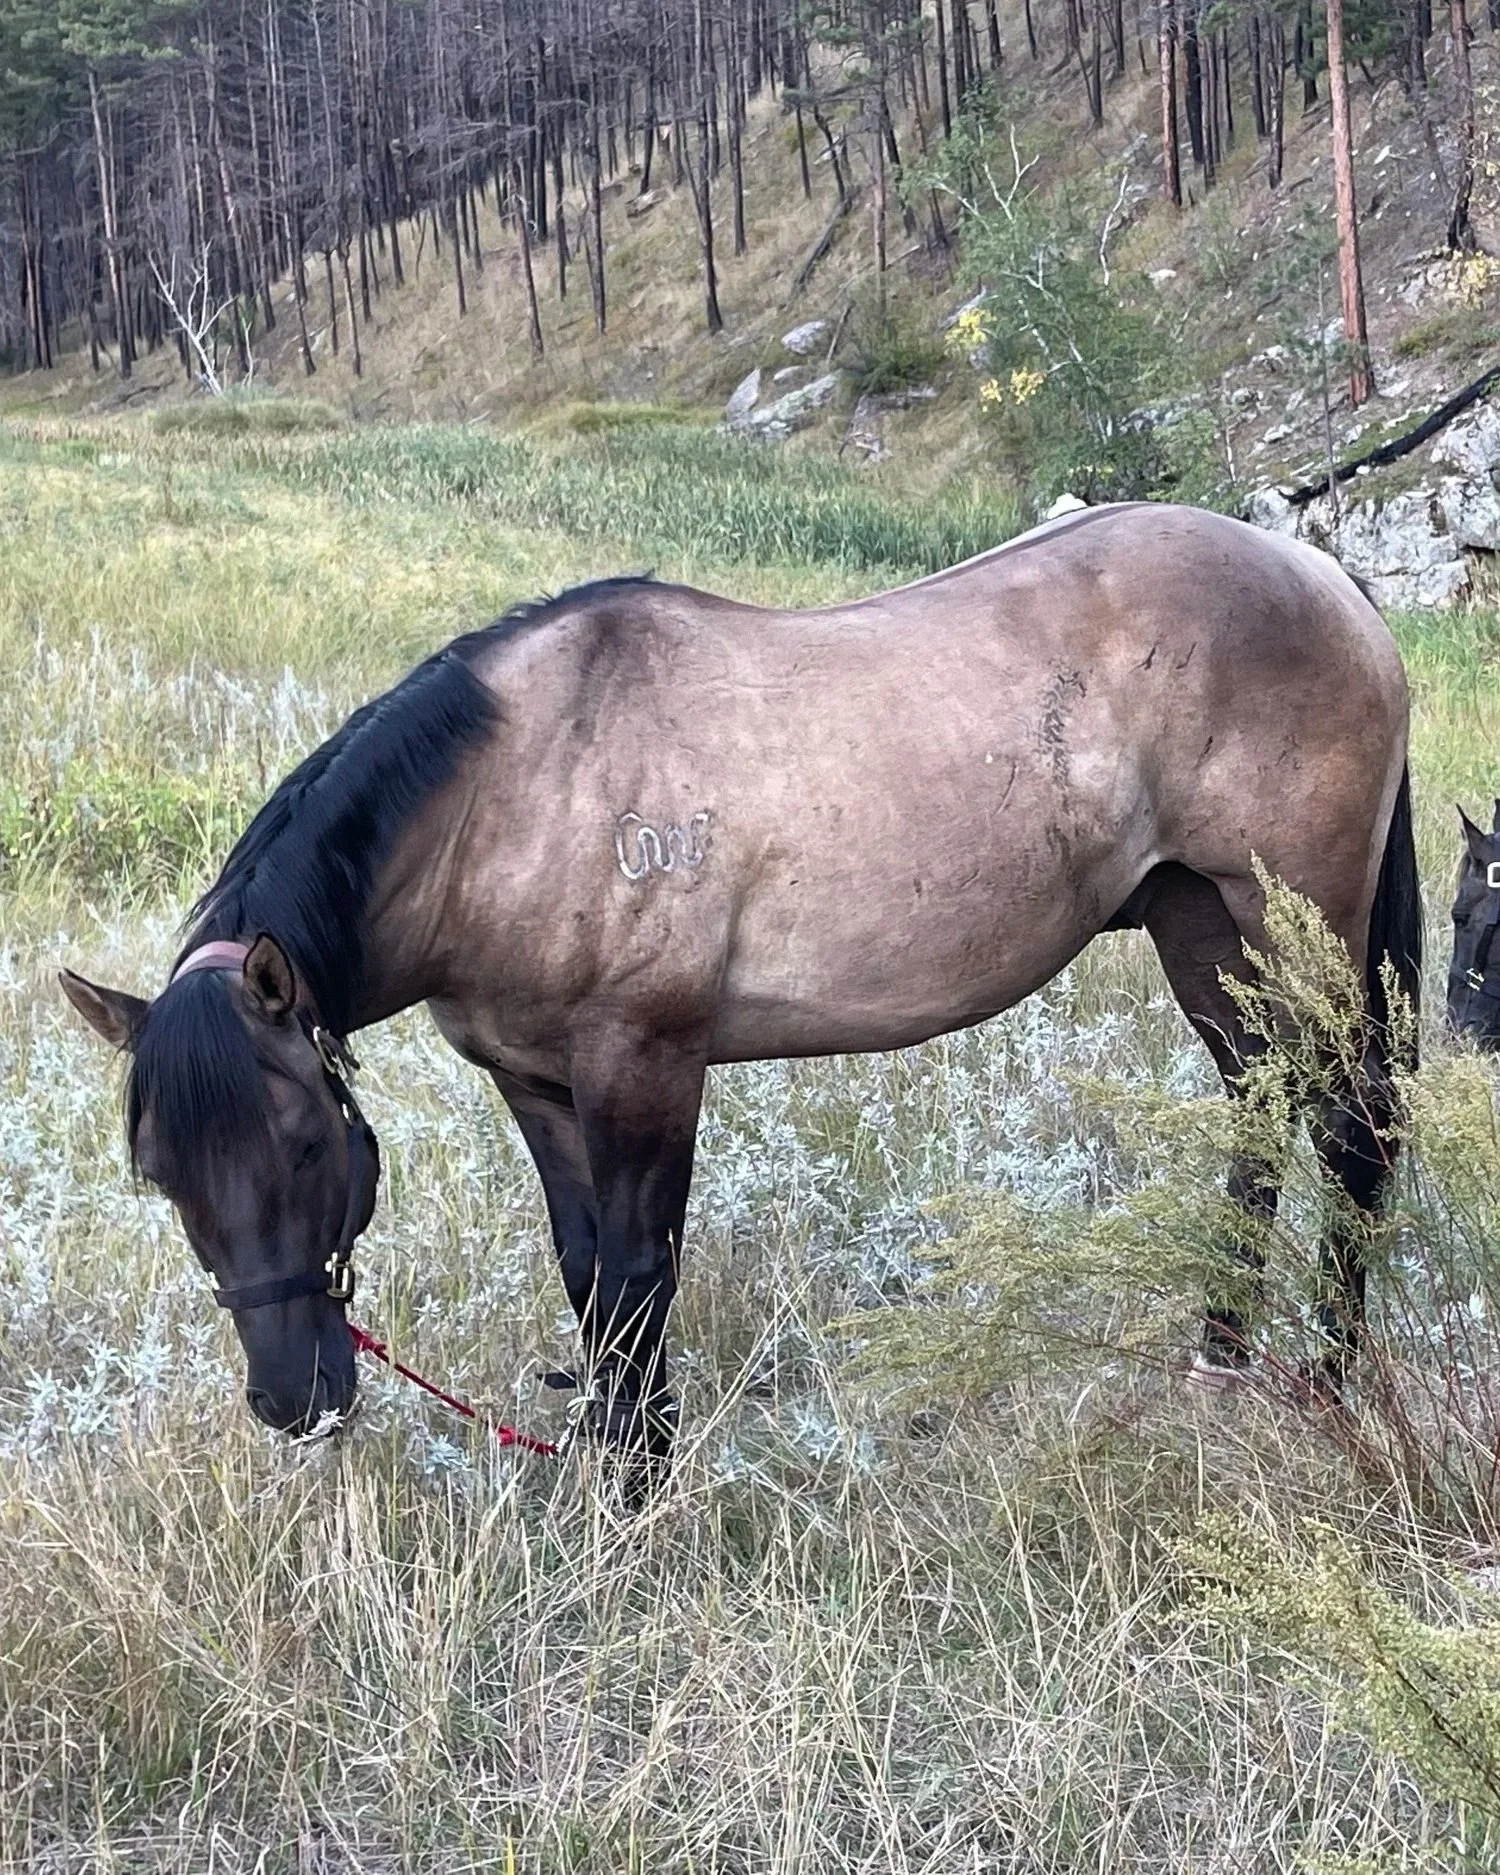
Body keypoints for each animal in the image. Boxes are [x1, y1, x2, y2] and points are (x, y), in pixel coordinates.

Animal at [61, 501, 1421, 1463]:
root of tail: (1325, 579)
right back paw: (1217, 1354)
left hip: (1295, 914)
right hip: (1200, 922)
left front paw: (639, 1487)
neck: (516, 795)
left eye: (303, 1146)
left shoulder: (646, 1065)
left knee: (1350, 1123)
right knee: (1262, 1106)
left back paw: (1328, 1382)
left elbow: (637, 1278)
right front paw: (619, 1453)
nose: (293, 1398)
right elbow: (588, 1276)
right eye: (159, 1172)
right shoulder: (536, 1084)